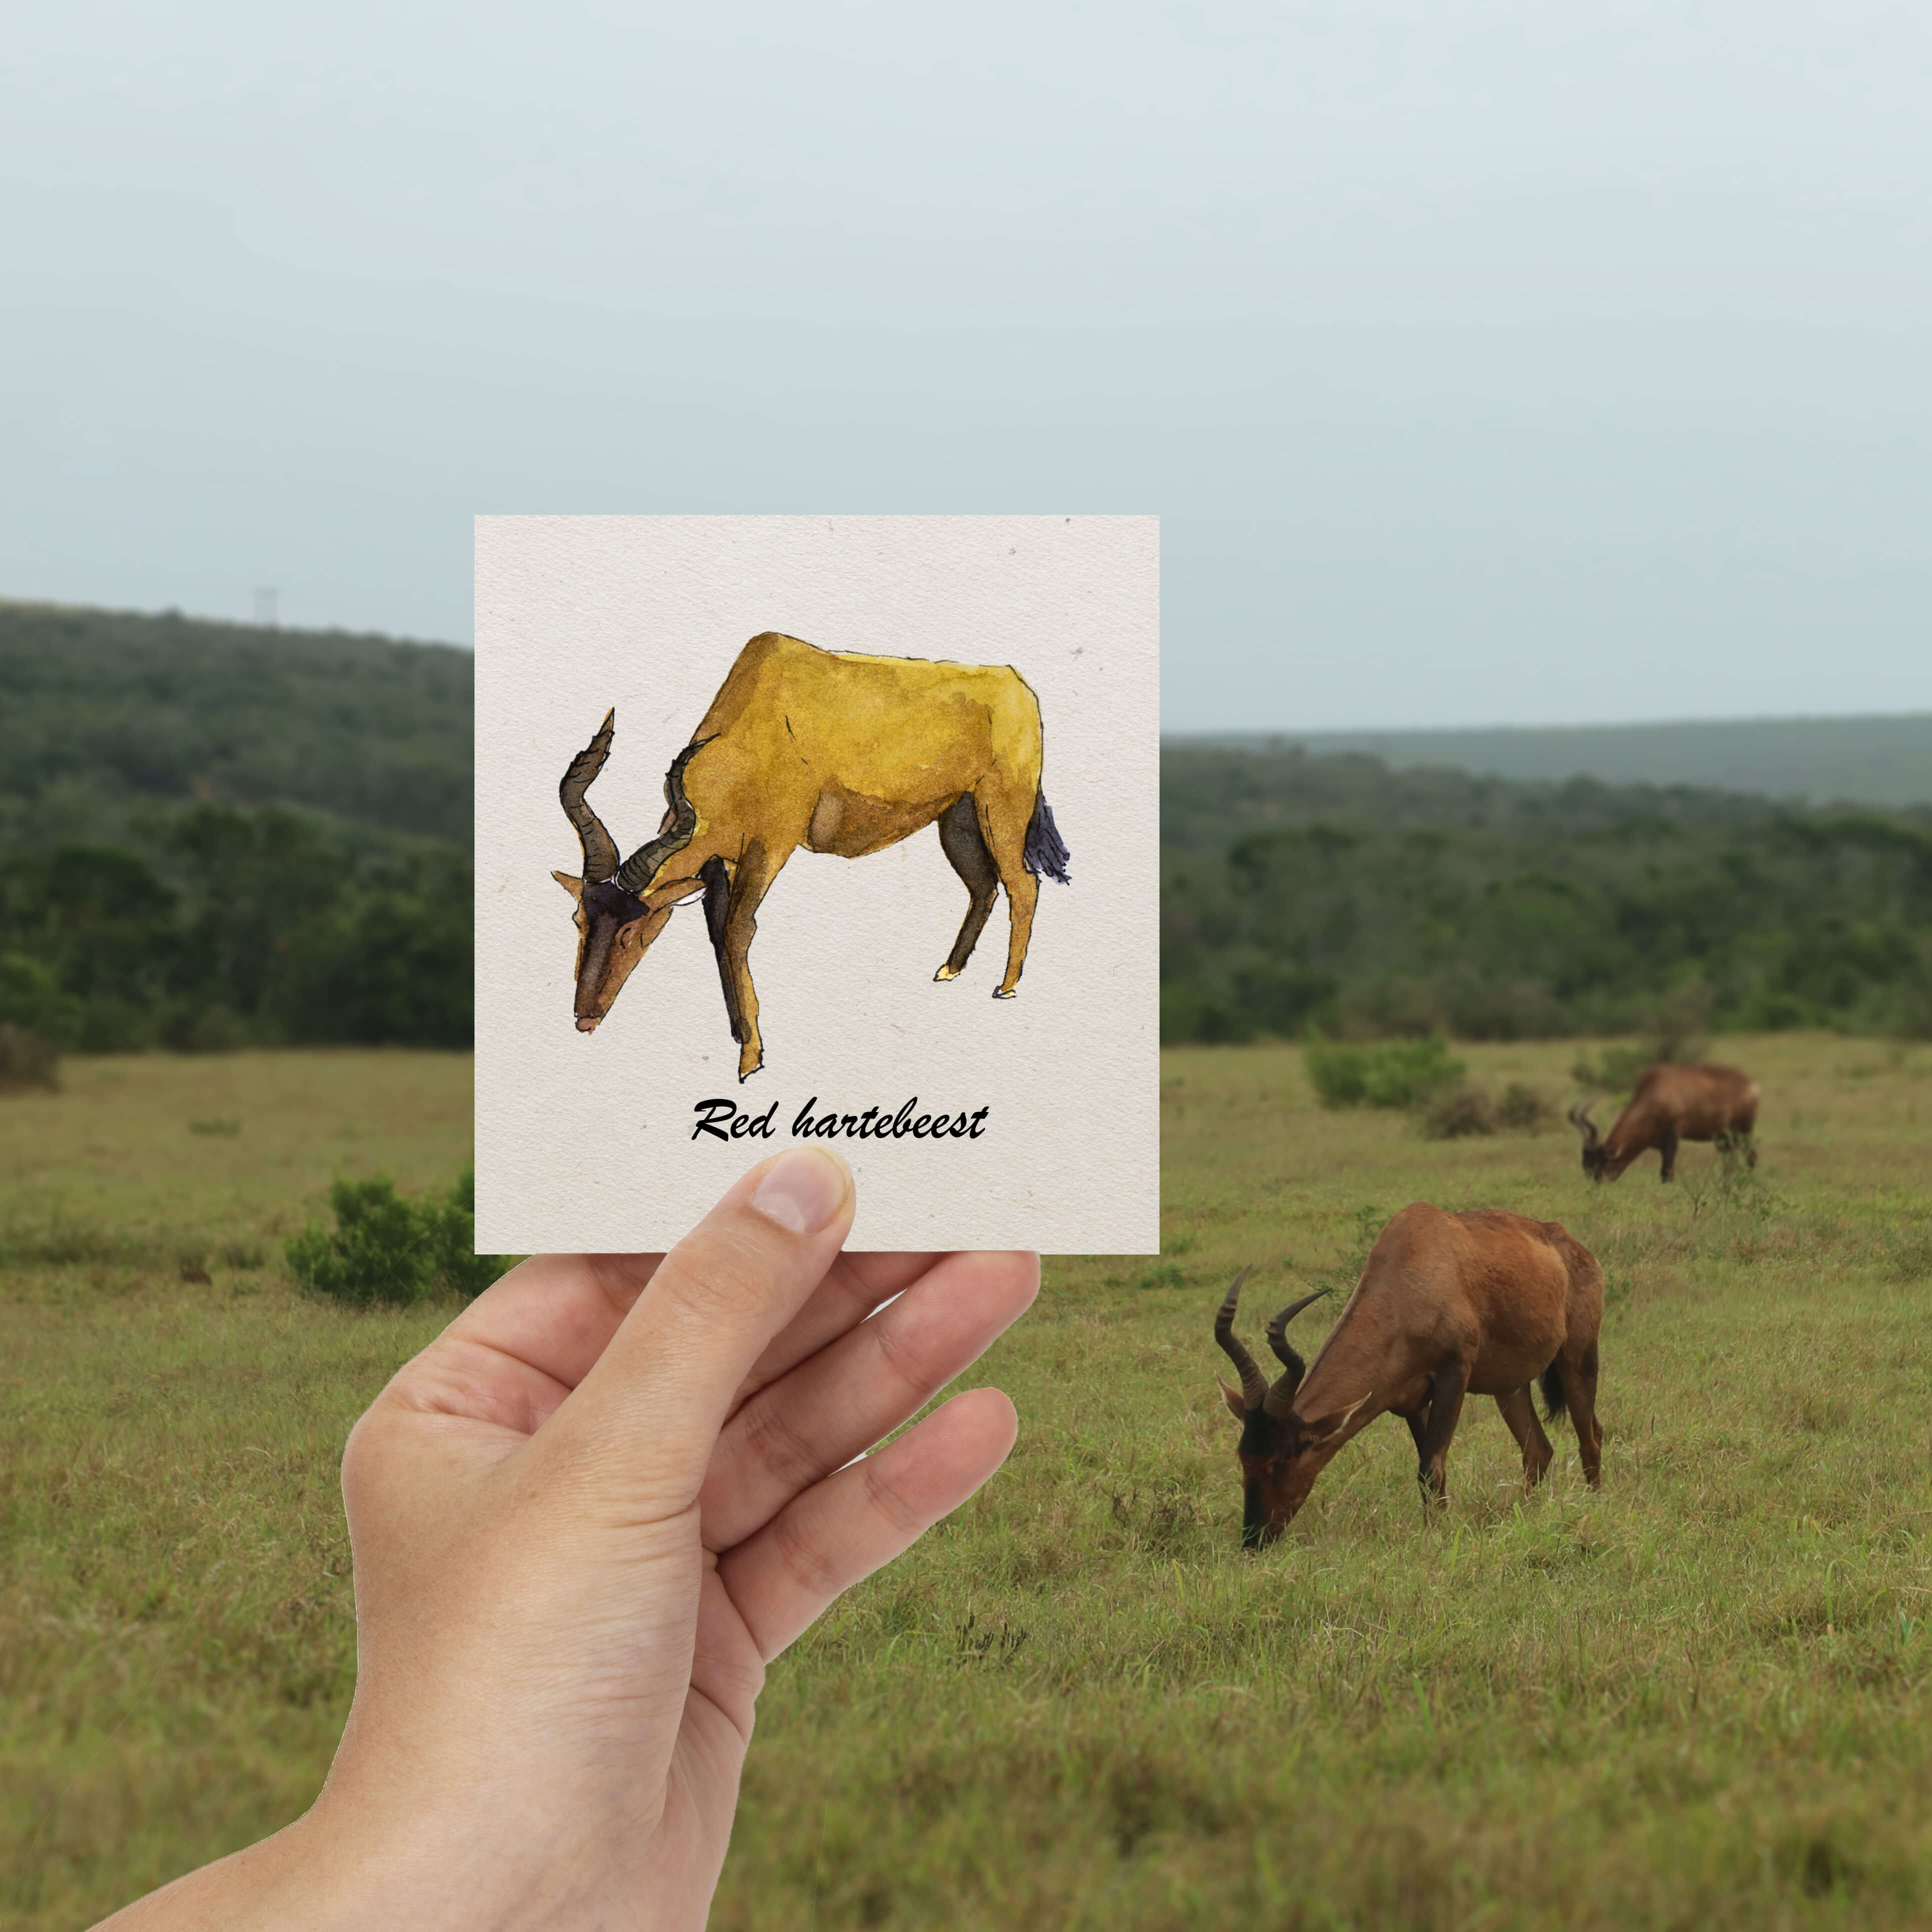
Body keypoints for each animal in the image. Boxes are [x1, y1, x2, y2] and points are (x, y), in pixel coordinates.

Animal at [556, 638, 1074, 1082]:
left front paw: (751, 1060)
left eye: (630, 930)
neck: (764, 711)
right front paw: (738, 1034)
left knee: (1022, 885)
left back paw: (1006, 987)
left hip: (1000, 811)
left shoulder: (771, 847)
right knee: (983, 886)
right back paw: (950, 969)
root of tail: (1014, 682)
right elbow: (718, 935)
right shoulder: (722, 863)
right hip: (958, 819)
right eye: (580, 919)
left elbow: (739, 933)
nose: (584, 1019)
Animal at [1213, 1198, 1607, 1546]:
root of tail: (1576, 1248)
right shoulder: (1411, 1401)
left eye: (1282, 1458)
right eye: (1244, 1456)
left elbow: (1431, 1467)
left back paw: (1593, 1507)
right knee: (1538, 1452)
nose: (1254, 1540)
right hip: (1510, 1387)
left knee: (1591, 1438)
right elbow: (1429, 1471)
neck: (1411, 1267)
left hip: (1578, 1360)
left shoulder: (1454, 1375)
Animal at [1568, 1058, 1770, 1174]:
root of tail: (1752, 1085)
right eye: (1586, 1165)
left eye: (1599, 1164)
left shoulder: (1673, 1135)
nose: (1597, 1187)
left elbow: (1667, 1171)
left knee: (1751, 1156)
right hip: (1724, 1137)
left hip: (1744, 1130)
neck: (1658, 1089)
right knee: (1730, 1162)